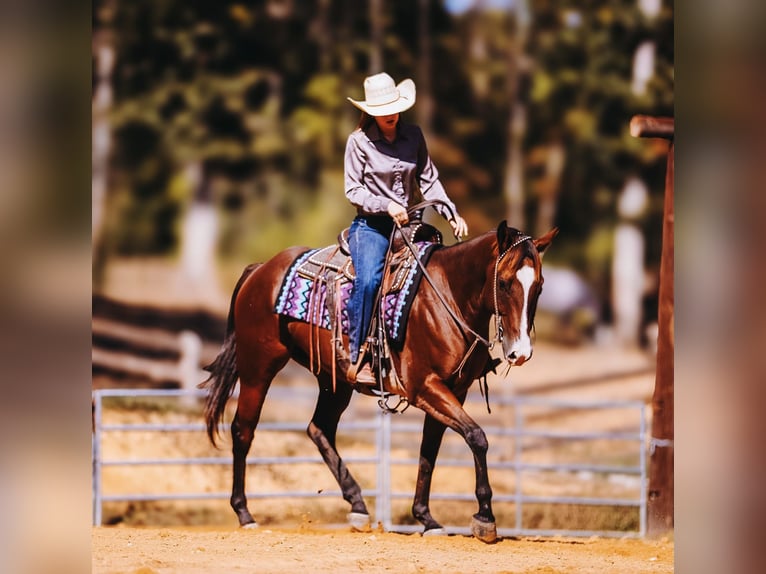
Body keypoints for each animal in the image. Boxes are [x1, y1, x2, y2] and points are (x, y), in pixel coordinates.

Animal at [200, 217, 557, 543]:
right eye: (505, 282)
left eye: (539, 286)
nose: (521, 352)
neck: (448, 296)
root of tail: (260, 270)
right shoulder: (425, 387)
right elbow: (476, 436)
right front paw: (484, 518)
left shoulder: (454, 390)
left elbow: (430, 452)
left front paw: (426, 518)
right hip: (258, 367)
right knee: (243, 430)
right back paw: (245, 513)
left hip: (334, 381)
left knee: (319, 429)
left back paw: (358, 505)